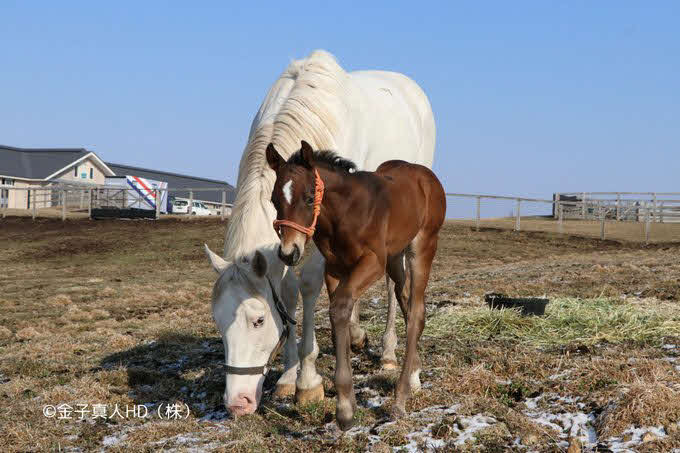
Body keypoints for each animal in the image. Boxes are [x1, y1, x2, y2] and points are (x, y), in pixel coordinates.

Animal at [203, 50, 435, 416]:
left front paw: (307, 381)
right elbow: (287, 292)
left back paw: (388, 353)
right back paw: (355, 335)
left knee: (393, 284)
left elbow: (309, 286)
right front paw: (287, 376)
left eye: (258, 321)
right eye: (217, 320)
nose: (237, 403)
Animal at [267, 141, 446, 430]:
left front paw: (344, 409)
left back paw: (400, 399)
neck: (345, 213)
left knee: (417, 310)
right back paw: (414, 374)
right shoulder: (335, 269)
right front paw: (347, 403)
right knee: (405, 297)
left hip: (423, 245)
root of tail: (426, 176)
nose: (288, 252)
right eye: (274, 200)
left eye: (309, 198)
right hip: (394, 257)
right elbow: (339, 315)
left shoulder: (373, 262)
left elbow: (340, 308)